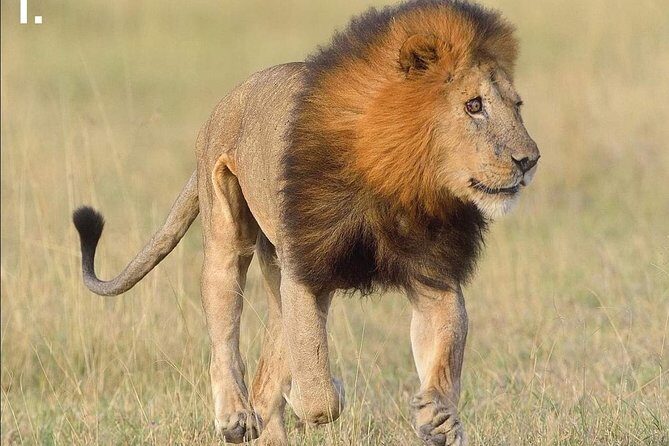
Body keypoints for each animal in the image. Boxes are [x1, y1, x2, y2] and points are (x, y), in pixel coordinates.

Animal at [72, 1, 539, 445]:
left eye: (517, 106)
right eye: (473, 106)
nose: (529, 160)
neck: (395, 180)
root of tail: (231, 98)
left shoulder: (433, 277)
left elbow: (443, 352)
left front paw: (438, 417)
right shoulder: (304, 268)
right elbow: (318, 394)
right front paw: (321, 392)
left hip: (279, 265)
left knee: (267, 375)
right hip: (230, 236)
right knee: (226, 336)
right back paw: (235, 416)